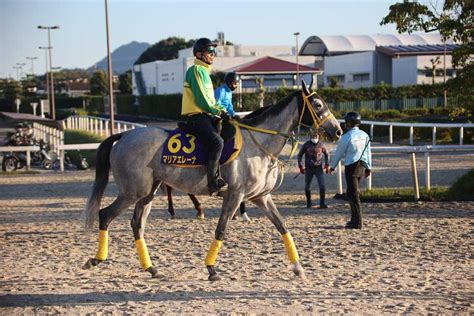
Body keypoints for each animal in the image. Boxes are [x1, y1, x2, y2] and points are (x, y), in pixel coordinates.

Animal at [81, 82, 340, 282]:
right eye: (318, 105)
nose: (337, 131)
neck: (258, 144)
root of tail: (124, 135)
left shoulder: (261, 197)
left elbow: (283, 227)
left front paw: (298, 268)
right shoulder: (234, 195)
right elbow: (221, 230)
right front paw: (211, 269)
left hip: (147, 194)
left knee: (137, 224)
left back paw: (151, 269)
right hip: (132, 192)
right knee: (105, 214)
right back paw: (96, 259)